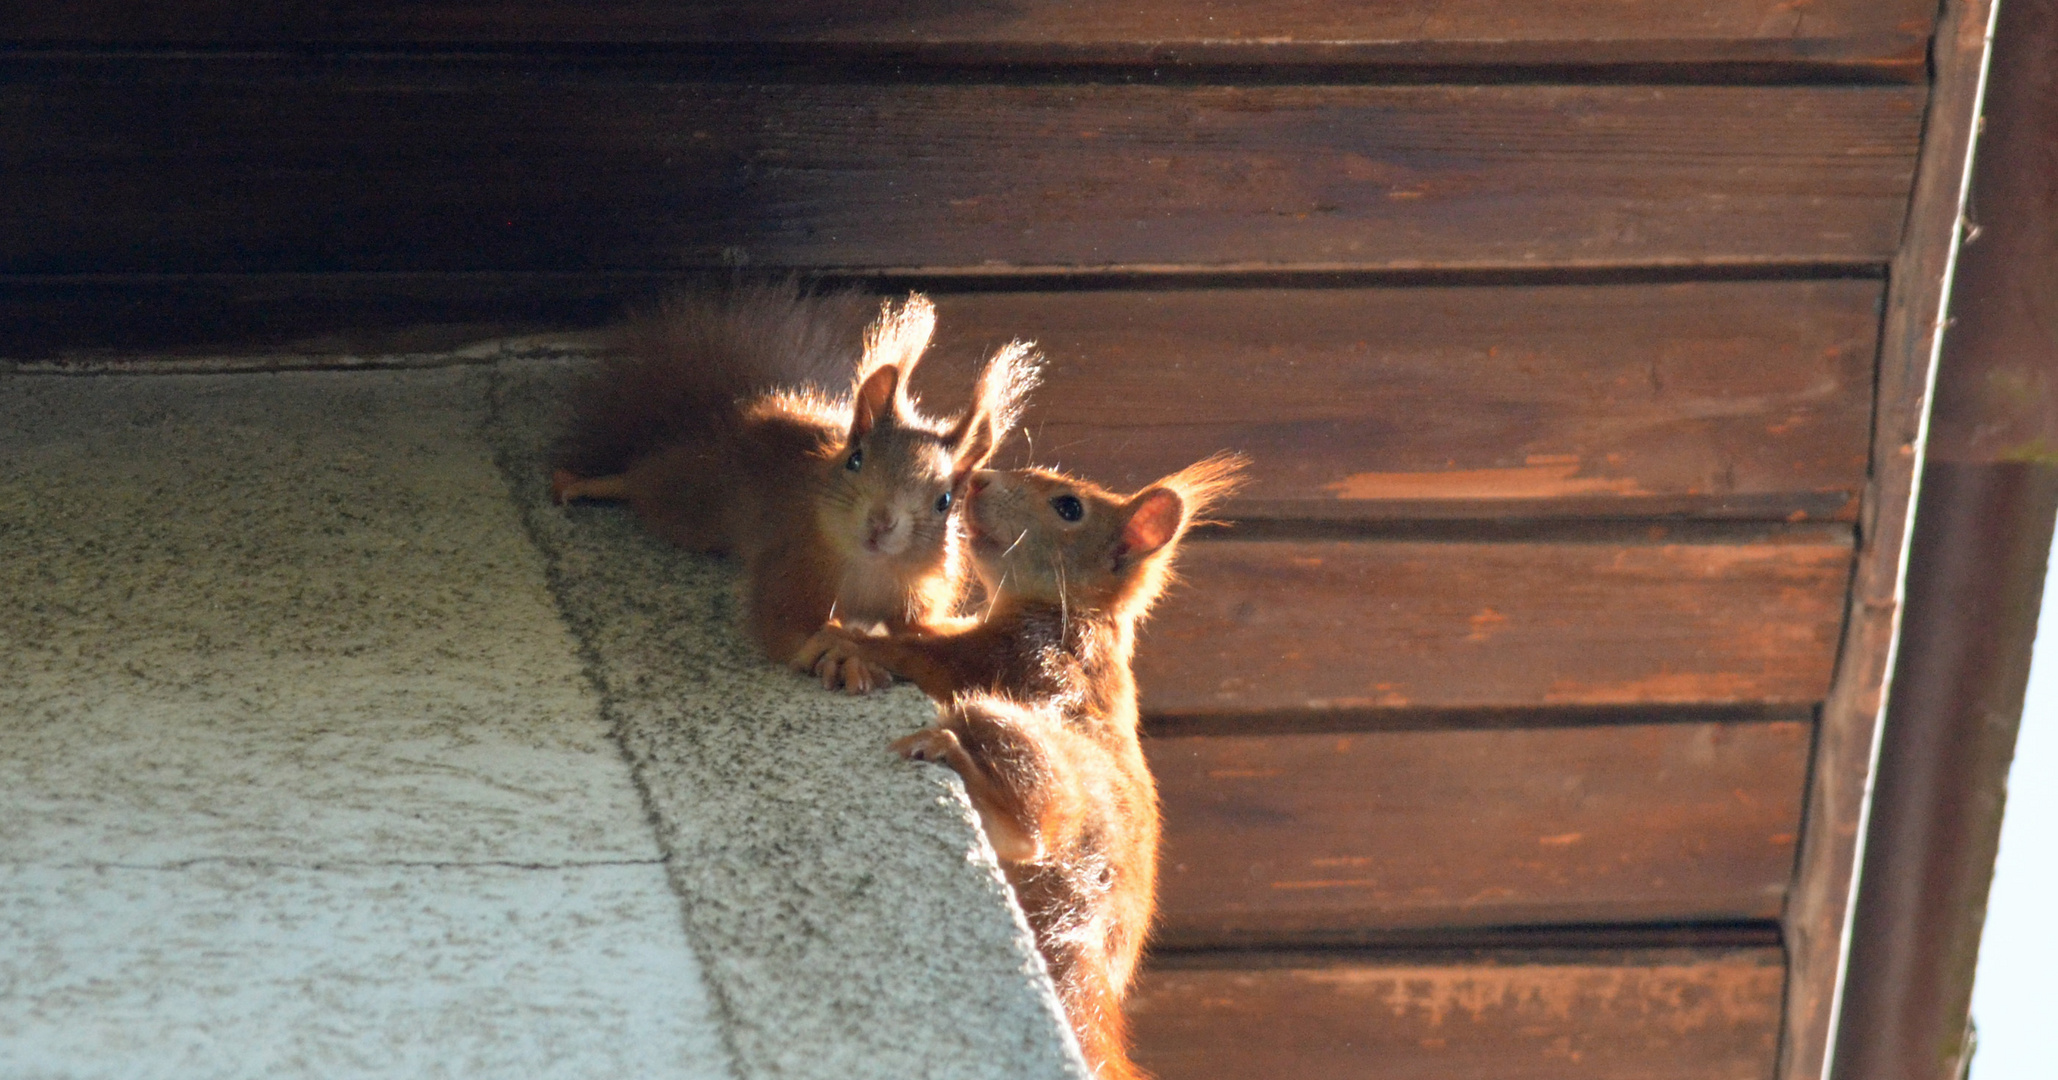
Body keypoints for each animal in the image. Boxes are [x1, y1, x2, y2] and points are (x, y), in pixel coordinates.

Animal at [551, 288, 1037, 674]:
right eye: (855, 460)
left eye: (945, 500)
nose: (881, 523)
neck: (869, 567)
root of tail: (730, 421)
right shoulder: (791, 561)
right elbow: (781, 625)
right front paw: (833, 647)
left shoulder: (912, 597)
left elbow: (918, 631)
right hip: (692, 500)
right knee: (644, 480)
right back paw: (585, 482)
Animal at [794, 450, 1243, 1069]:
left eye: (1069, 507)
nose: (978, 480)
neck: (1072, 612)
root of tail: (1087, 934)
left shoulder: (1016, 656)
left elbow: (924, 652)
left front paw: (847, 641)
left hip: (1009, 728)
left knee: (1033, 827)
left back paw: (955, 759)